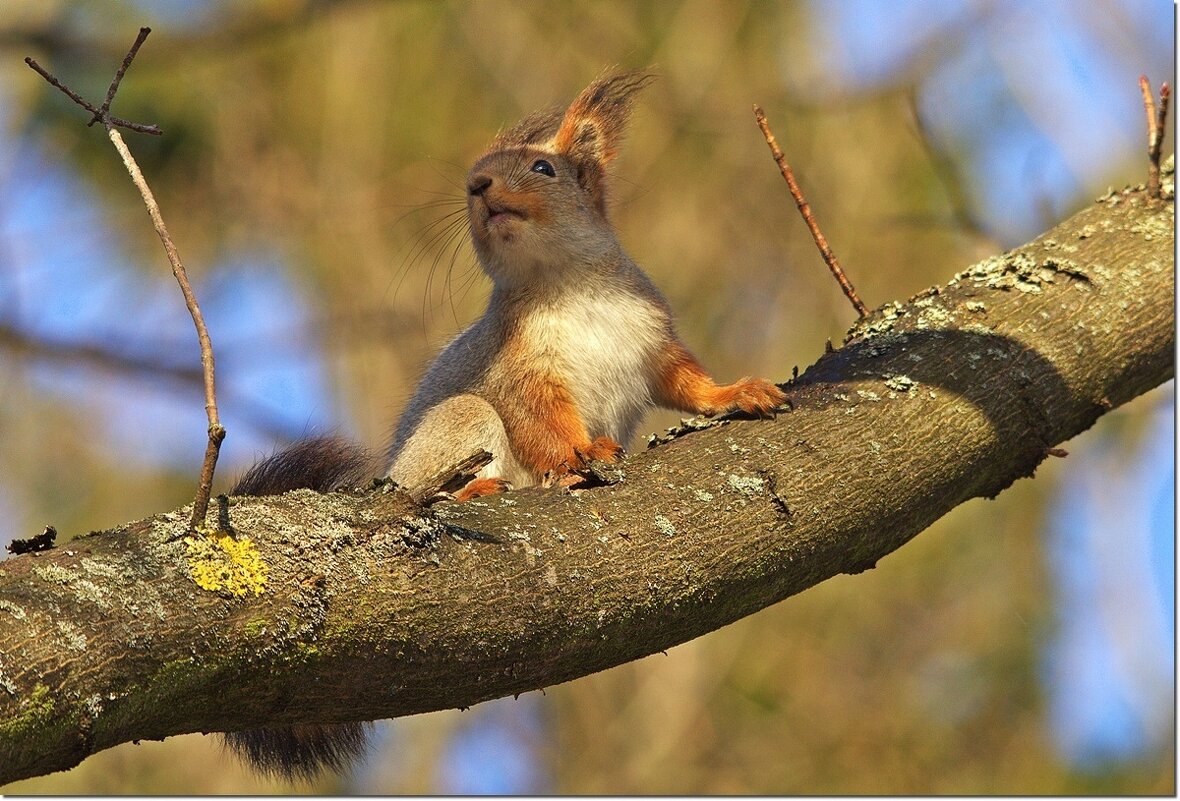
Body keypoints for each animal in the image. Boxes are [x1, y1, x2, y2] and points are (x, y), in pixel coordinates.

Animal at [226, 70, 788, 783]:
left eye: (543, 168)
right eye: (476, 169)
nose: (476, 185)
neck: (571, 284)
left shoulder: (653, 339)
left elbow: (686, 384)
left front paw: (738, 394)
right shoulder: (519, 371)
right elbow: (542, 424)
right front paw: (580, 455)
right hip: (459, 424)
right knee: (435, 480)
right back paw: (476, 488)